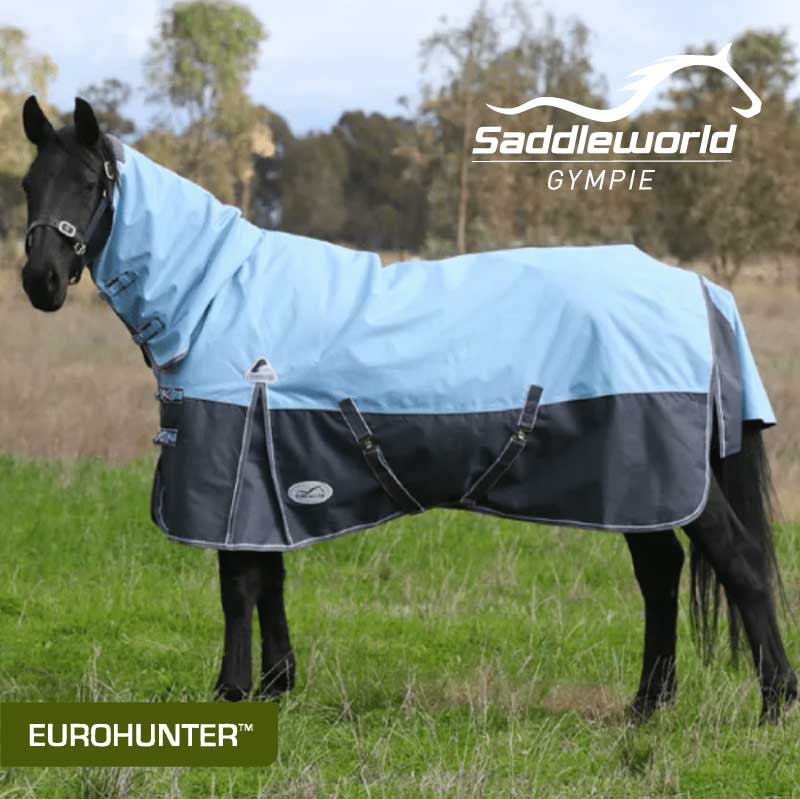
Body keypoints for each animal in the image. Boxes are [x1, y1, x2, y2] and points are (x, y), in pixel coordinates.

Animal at [18, 95, 796, 722]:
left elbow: (237, 586)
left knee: (741, 562)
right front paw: (276, 682)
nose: (40, 282)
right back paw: (646, 705)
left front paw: (233, 692)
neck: (217, 291)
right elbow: (269, 578)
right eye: (28, 185)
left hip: (669, 476)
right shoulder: (266, 473)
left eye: (87, 183)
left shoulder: (234, 456)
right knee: (660, 575)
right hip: (635, 485)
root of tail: (696, 287)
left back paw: (773, 705)